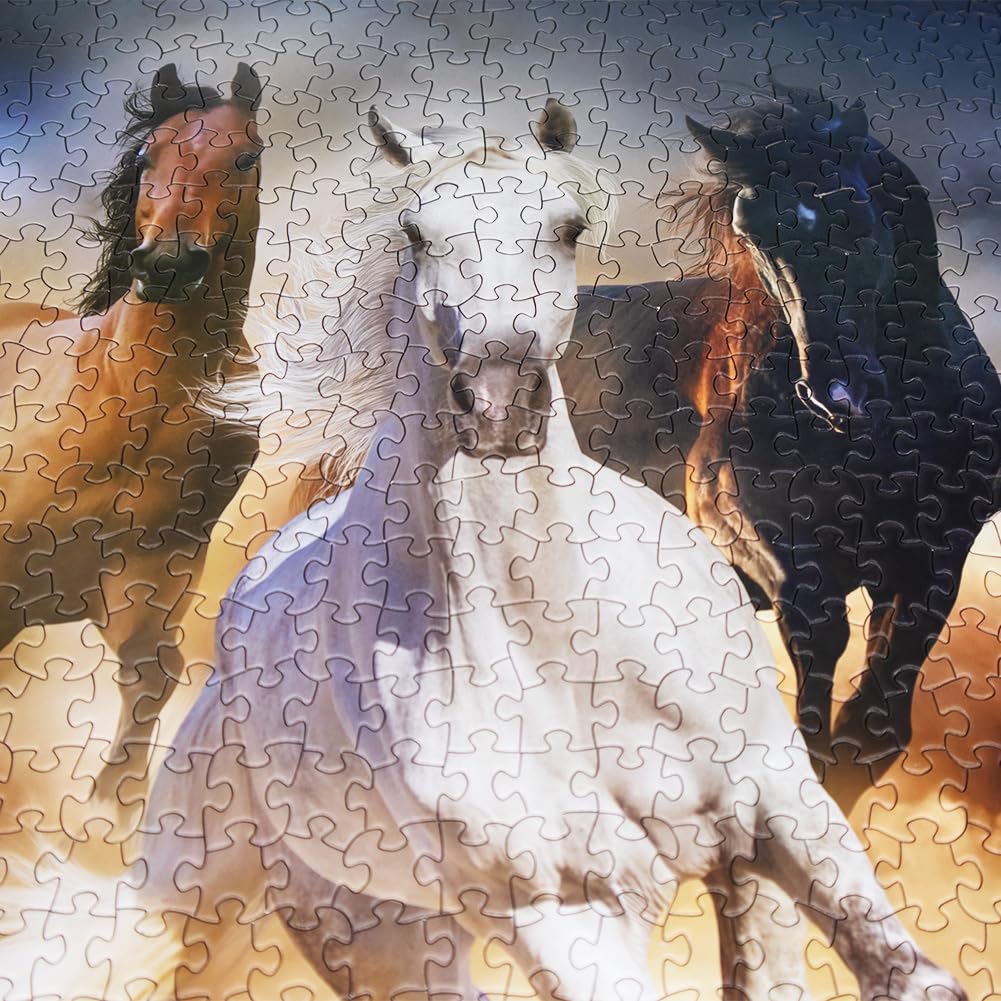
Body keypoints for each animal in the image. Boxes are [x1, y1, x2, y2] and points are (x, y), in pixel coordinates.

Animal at [560, 88, 1001, 811]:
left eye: (854, 215)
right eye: (754, 235)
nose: (836, 390)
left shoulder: (933, 561)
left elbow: (873, 728)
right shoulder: (767, 548)